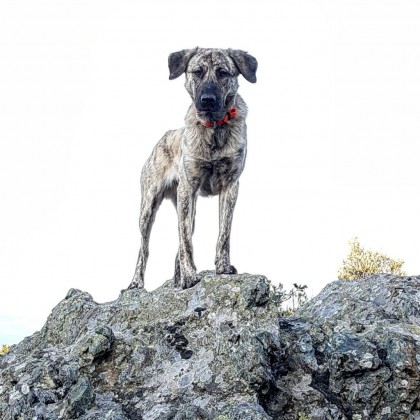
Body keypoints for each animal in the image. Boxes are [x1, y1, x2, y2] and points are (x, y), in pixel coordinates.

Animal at [128, 46, 258, 288]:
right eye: (197, 72)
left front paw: (223, 267)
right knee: (145, 248)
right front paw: (189, 277)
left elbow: (223, 234)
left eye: (223, 73)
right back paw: (137, 283)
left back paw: (176, 279)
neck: (213, 129)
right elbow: (186, 242)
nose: (207, 100)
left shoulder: (230, 187)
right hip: (149, 207)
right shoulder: (187, 188)